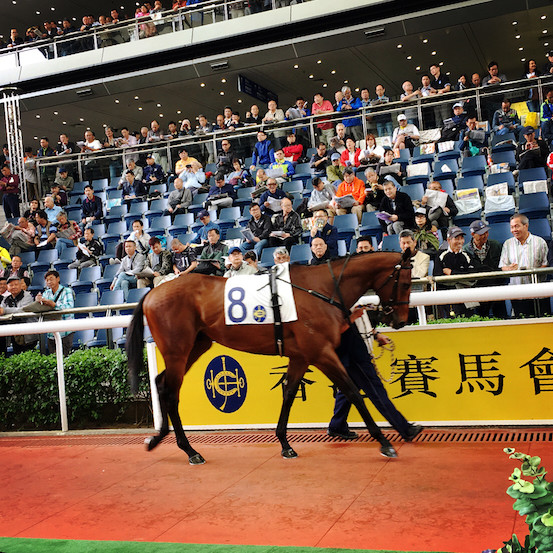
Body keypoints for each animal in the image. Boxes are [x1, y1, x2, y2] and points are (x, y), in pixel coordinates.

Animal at [126, 250, 410, 462]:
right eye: (406, 283)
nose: (399, 320)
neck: (320, 288)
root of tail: (152, 293)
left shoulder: (302, 356)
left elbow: (289, 393)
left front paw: (285, 443)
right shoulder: (322, 353)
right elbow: (353, 391)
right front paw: (384, 442)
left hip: (196, 345)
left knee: (161, 383)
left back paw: (158, 438)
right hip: (178, 349)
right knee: (171, 391)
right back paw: (189, 450)